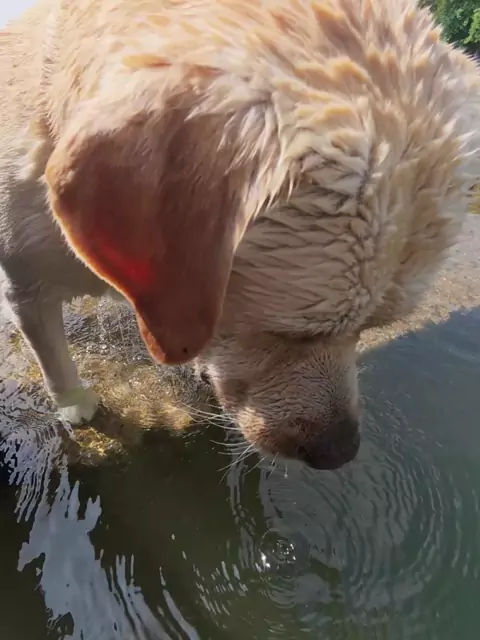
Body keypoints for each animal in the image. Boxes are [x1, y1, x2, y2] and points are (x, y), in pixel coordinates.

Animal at [0, 0, 479, 470]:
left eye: (372, 326)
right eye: (290, 334)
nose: (340, 453)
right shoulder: (25, 285)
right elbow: (53, 359)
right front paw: (77, 405)